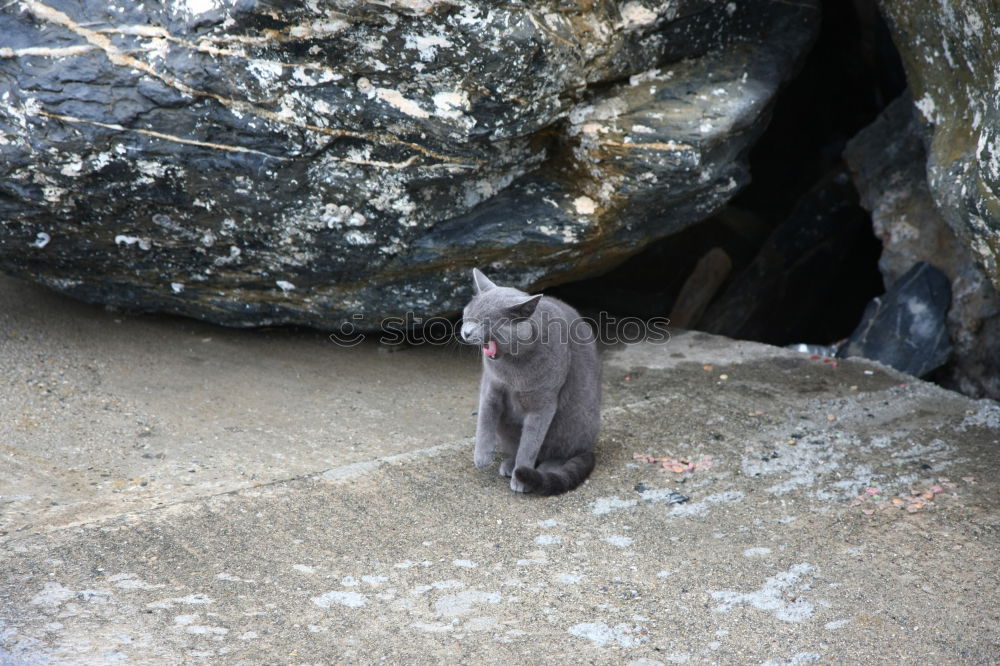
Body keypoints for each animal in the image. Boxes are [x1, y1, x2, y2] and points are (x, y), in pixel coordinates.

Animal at [460, 268, 600, 490]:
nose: (465, 332)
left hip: (574, 422)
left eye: (485, 322)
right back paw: (509, 464)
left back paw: (543, 469)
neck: (512, 369)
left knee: (560, 453)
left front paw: (520, 477)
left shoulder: (542, 404)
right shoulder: (492, 387)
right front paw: (482, 457)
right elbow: (485, 419)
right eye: (466, 316)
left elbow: (529, 445)